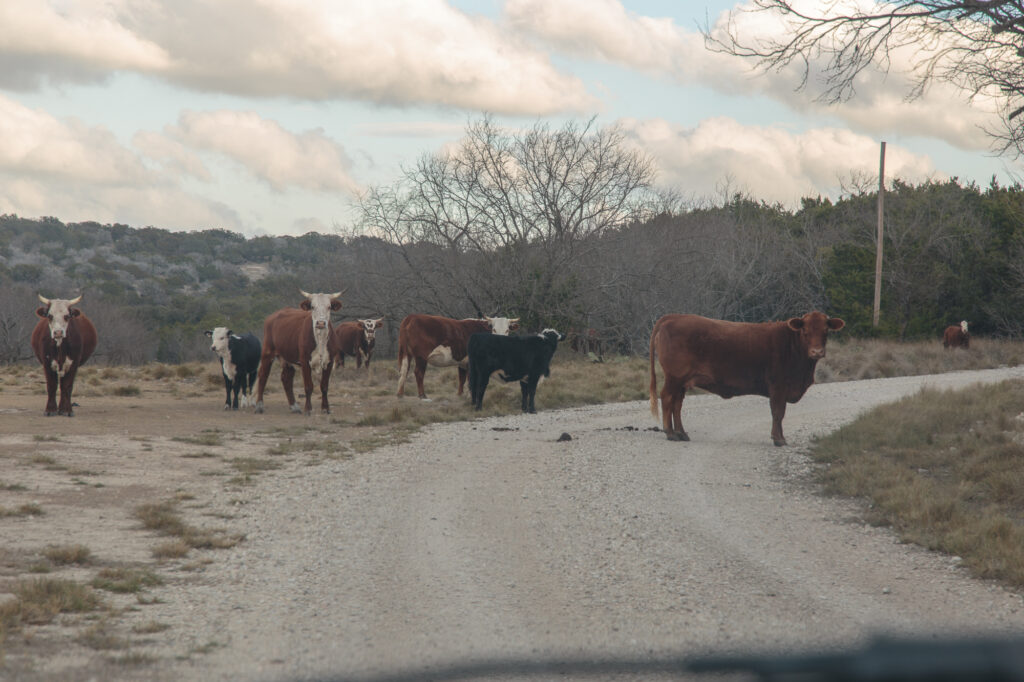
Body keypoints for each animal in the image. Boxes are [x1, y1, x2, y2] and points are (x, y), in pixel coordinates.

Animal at [651, 309, 843, 446]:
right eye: (805, 331)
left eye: (825, 331)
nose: (817, 352)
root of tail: (673, 317)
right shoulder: (778, 386)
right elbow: (778, 412)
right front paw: (778, 439)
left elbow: (779, 414)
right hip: (674, 377)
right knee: (667, 398)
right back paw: (670, 433)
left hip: (681, 381)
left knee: (677, 403)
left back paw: (681, 433)